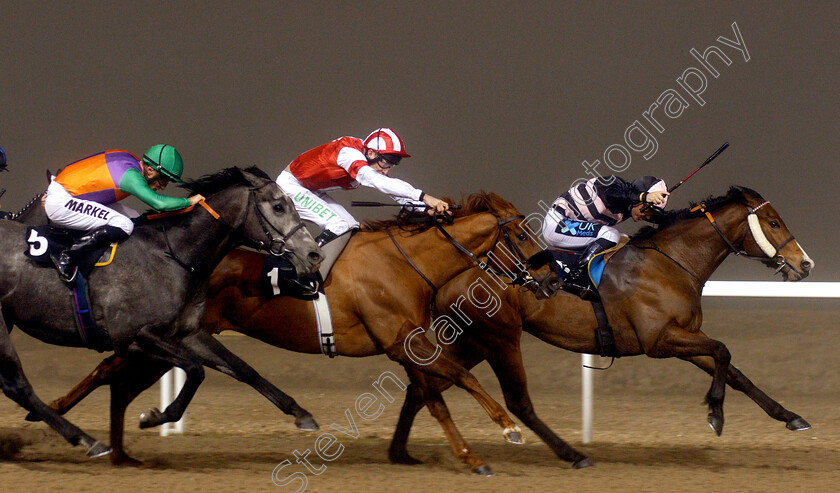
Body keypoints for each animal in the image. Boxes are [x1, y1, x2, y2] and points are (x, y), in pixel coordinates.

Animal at [0, 166, 322, 458]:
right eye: (278, 206)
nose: (314, 255)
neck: (172, 255)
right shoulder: (134, 337)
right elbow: (196, 369)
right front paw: (156, 416)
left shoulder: (186, 332)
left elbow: (242, 368)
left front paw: (301, 413)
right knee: (18, 386)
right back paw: (89, 441)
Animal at [34, 191, 556, 468]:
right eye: (523, 234)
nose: (551, 280)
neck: (405, 263)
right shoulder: (402, 341)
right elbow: (461, 378)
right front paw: (508, 430)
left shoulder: (406, 343)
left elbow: (435, 398)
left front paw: (469, 456)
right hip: (164, 336)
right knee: (109, 371)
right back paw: (60, 417)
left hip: (176, 338)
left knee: (120, 382)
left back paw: (119, 450)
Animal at [388, 186, 812, 470]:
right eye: (773, 222)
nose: (804, 264)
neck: (671, 263)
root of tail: (452, 274)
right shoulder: (660, 341)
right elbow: (724, 349)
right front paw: (716, 415)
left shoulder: (684, 339)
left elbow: (735, 370)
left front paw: (791, 417)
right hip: (500, 339)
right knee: (516, 401)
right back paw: (573, 455)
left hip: (473, 342)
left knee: (423, 386)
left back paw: (400, 452)